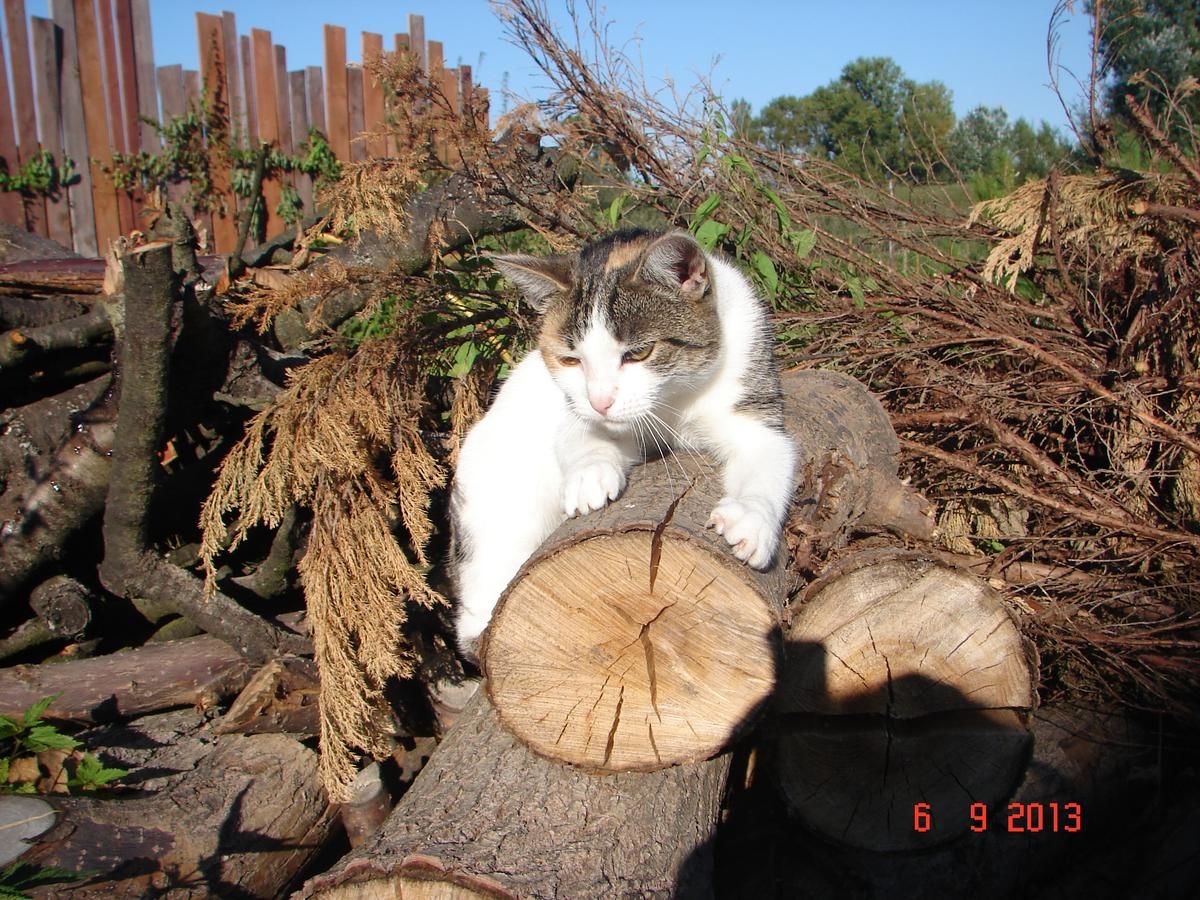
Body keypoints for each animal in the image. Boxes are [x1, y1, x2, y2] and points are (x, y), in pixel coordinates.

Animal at [451, 229, 796, 657]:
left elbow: (770, 459)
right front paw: (591, 475)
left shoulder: (755, 409)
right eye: (571, 361)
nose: (600, 400)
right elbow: (580, 434)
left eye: (639, 353)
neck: (674, 401)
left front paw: (750, 518)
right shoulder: (576, 412)